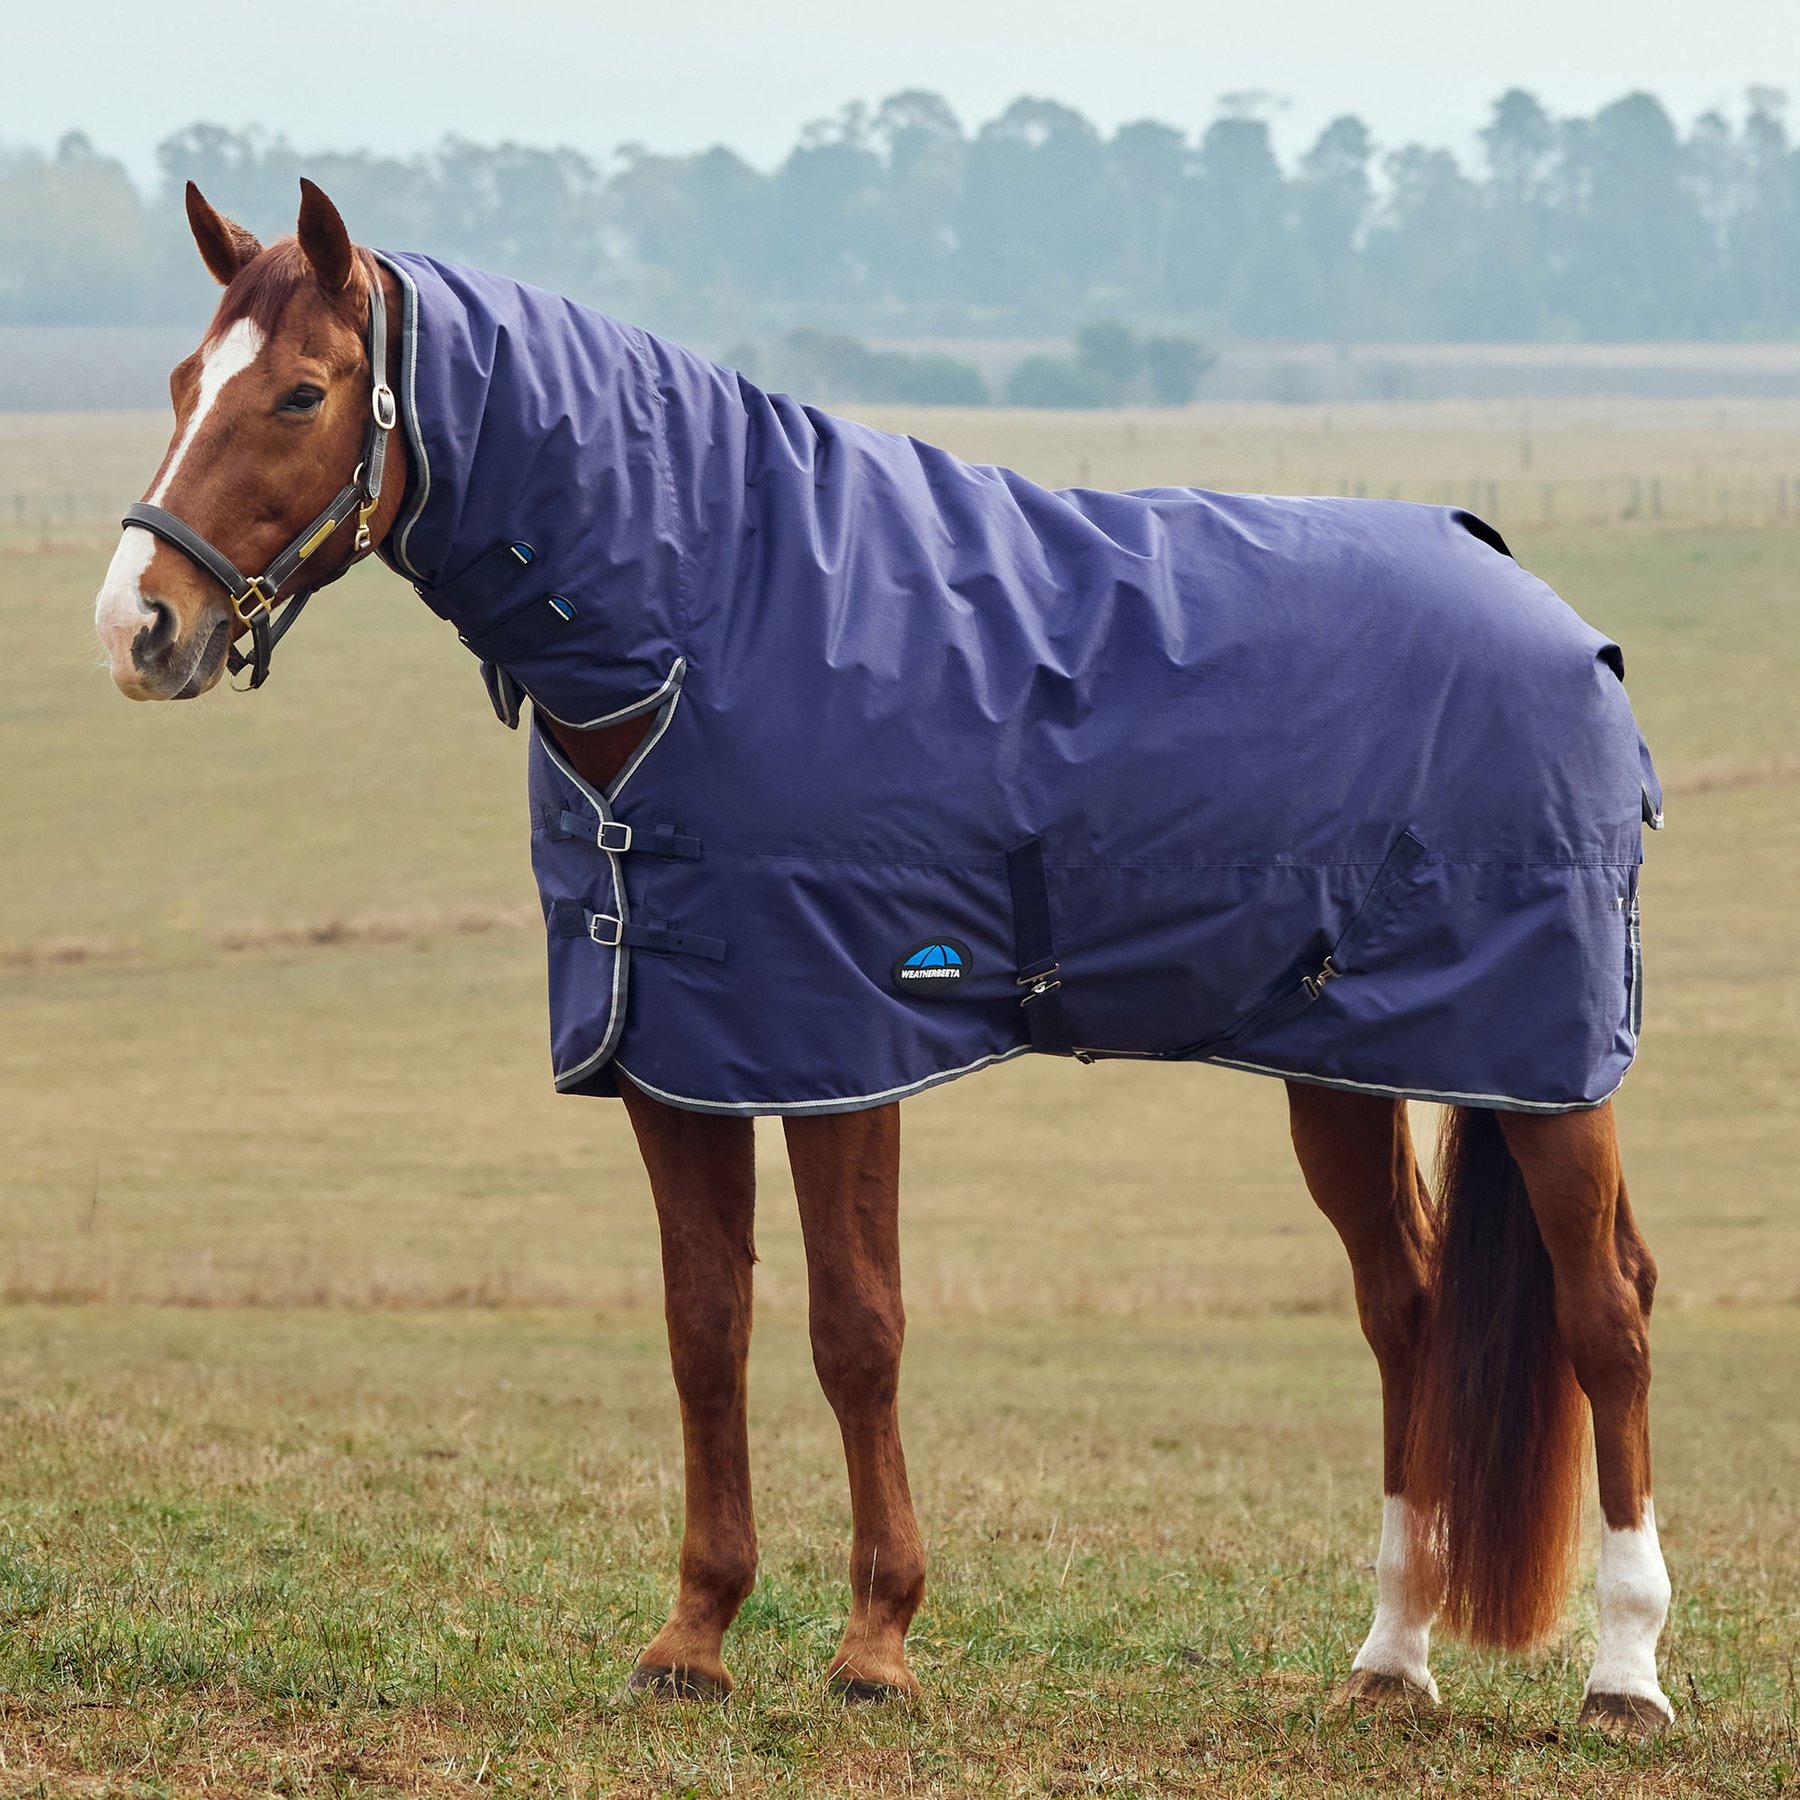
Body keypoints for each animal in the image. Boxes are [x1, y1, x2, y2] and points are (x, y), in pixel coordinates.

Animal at [93, 178, 1673, 1735]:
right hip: (1342, 1067)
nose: (138, 625)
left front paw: (876, 1645)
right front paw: (694, 1638)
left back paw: (1625, 1673)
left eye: (301, 394)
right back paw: (1392, 1659)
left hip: (1550, 1067)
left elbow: (858, 1331)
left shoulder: (840, 1047)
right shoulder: (676, 1057)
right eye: (181, 382)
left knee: (1608, 1313)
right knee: (1406, 1313)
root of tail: (1560, 620)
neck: (714, 626)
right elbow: (706, 1328)